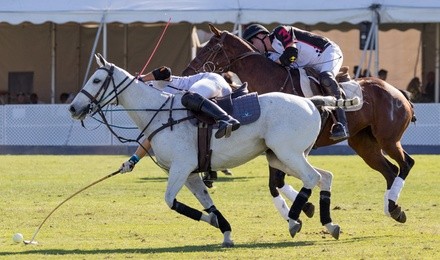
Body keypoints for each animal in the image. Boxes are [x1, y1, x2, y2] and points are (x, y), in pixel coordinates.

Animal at [69, 54, 348, 246]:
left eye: (96, 80)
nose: (72, 108)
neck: (158, 113)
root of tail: (310, 101)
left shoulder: (181, 167)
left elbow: (170, 200)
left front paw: (219, 225)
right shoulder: (190, 172)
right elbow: (206, 203)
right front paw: (224, 231)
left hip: (287, 152)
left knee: (312, 177)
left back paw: (293, 219)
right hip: (279, 156)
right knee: (325, 177)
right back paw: (329, 224)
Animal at [183, 23, 416, 223]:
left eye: (210, 48)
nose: (186, 72)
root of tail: (398, 92)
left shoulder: (291, 147)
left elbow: (278, 181)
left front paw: (303, 209)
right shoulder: (273, 146)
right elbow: (275, 183)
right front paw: (304, 209)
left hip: (388, 139)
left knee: (406, 163)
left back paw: (393, 204)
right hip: (364, 144)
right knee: (390, 171)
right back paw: (393, 208)